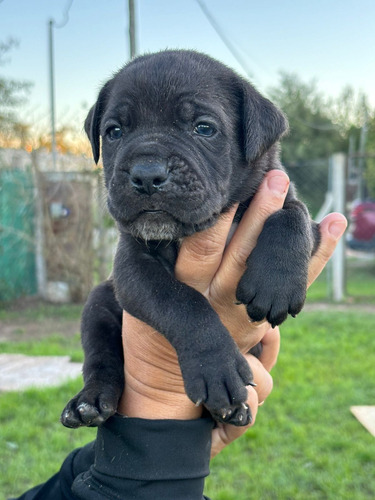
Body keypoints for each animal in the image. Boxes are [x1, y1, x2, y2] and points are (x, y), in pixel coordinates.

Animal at [61, 49, 320, 426]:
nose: (146, 174)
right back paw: (90, 401)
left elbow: (293, 215)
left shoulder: (287, 199)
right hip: (99, 304)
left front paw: (275, 286)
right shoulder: (131, 265)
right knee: (101, 358)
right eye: (115, 131)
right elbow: (181, 301)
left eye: (204, 128)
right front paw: (216, 368)